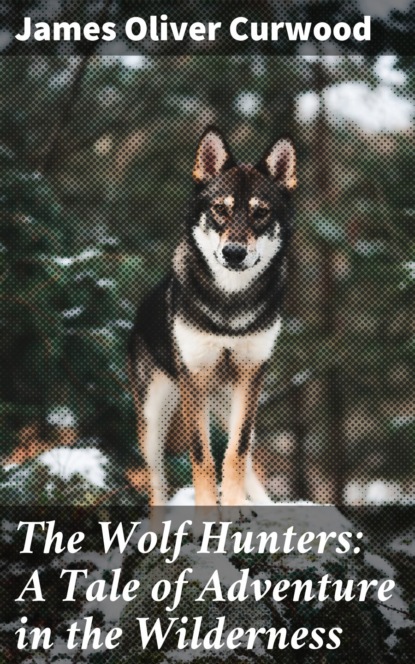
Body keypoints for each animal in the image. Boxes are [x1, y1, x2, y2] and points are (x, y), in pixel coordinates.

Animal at [128, 127, 296, 506]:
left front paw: (233, 508)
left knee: (247, 456)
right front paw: (208, 512)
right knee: (157, 484)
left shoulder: (251, 375)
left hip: (233, 402)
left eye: (260, 213)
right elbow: (202, 456)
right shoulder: (194, 379)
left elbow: (236, 453)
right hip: (155, 417)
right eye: (220, 209)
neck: (229, 303)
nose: (234, 253)